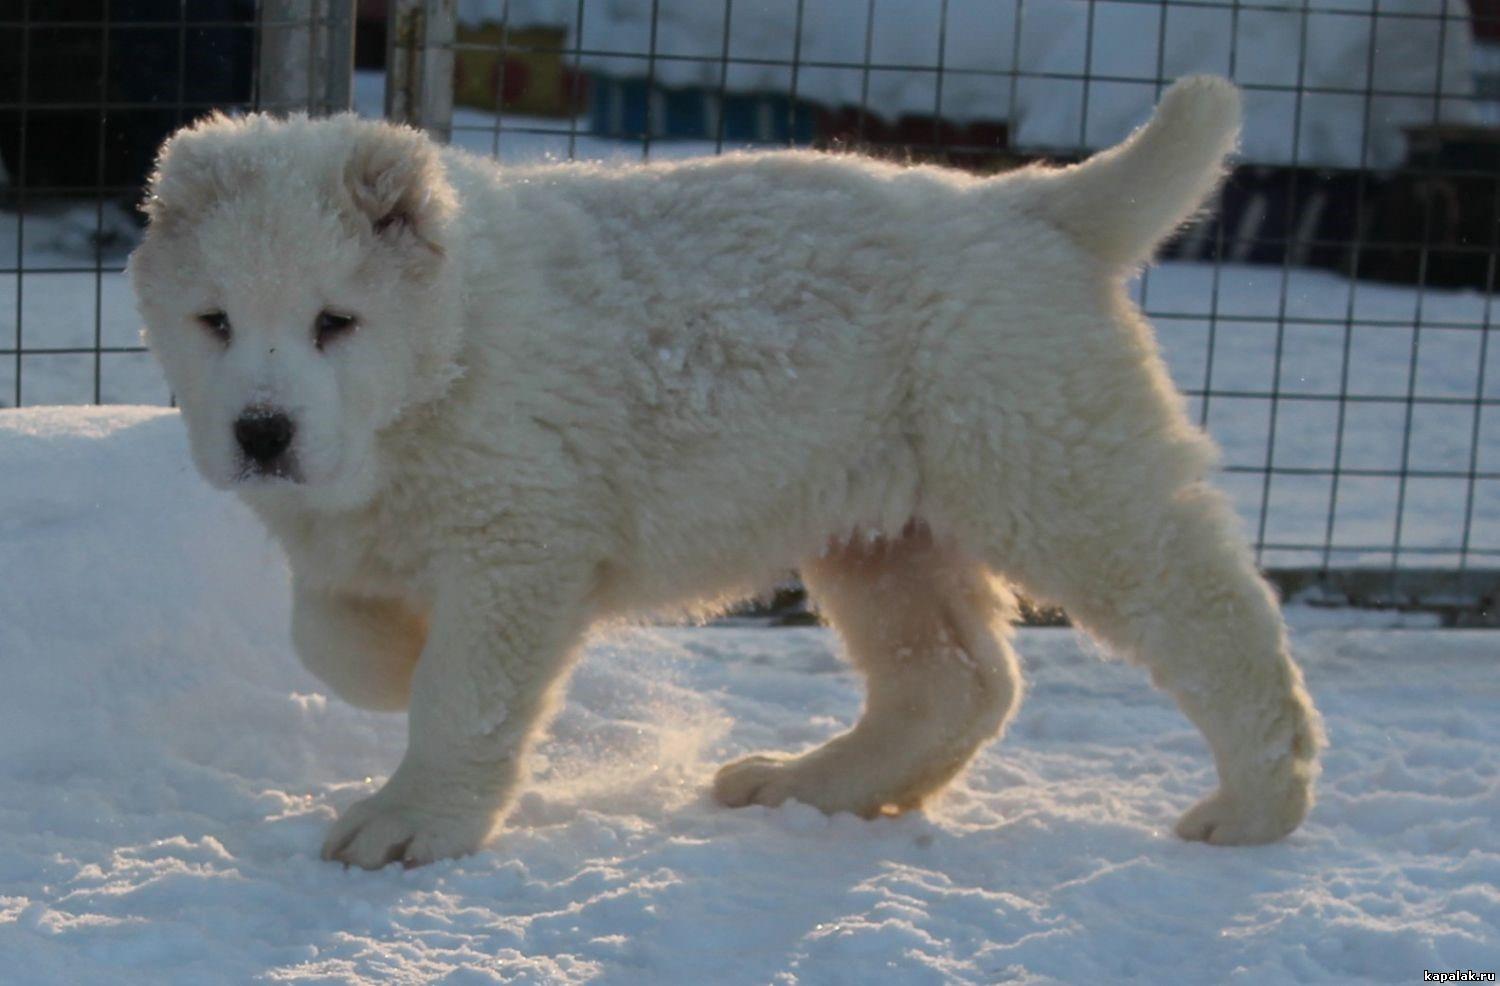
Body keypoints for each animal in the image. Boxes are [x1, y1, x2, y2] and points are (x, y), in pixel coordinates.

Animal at [132, 76, 1326, 864]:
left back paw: (1256, 804)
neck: (447, 350)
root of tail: (1032, 204)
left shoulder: (521, 540)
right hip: (879, 530)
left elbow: (465, 690)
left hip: (1055, 468)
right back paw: (811, 787)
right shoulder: (345, 534)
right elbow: (328, 636)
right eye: (215, 322)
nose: (262, 433)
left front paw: (413, 818)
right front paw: (392, 662)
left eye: (335, 322)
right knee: (953, 680)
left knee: (1210, 616)